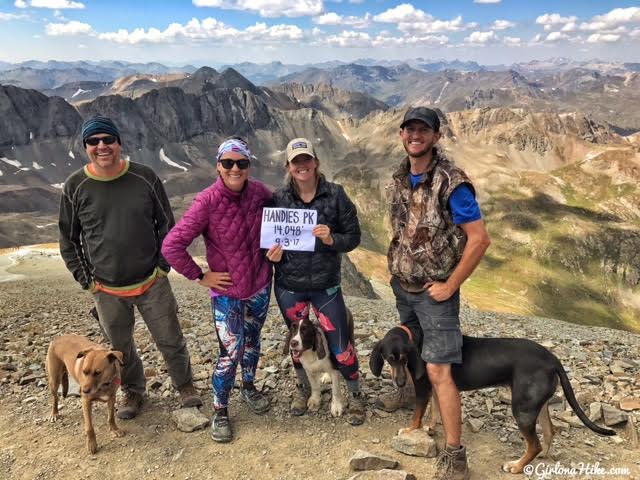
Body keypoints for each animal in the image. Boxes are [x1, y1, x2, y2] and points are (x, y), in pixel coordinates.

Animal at [370, 324, 616, 474]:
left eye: (403, 359)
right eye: (390, 359)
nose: (400, 383)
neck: (416, 338)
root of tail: (552, 358)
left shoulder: (423, 387)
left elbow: (417, 414)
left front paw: (411, 430)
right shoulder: (436, 386)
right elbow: (435, 409)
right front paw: (431, 427)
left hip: (522, 409)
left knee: (534, 444)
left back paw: (516, 466)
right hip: (538, 404)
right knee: (549, 432)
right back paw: (542, 457)